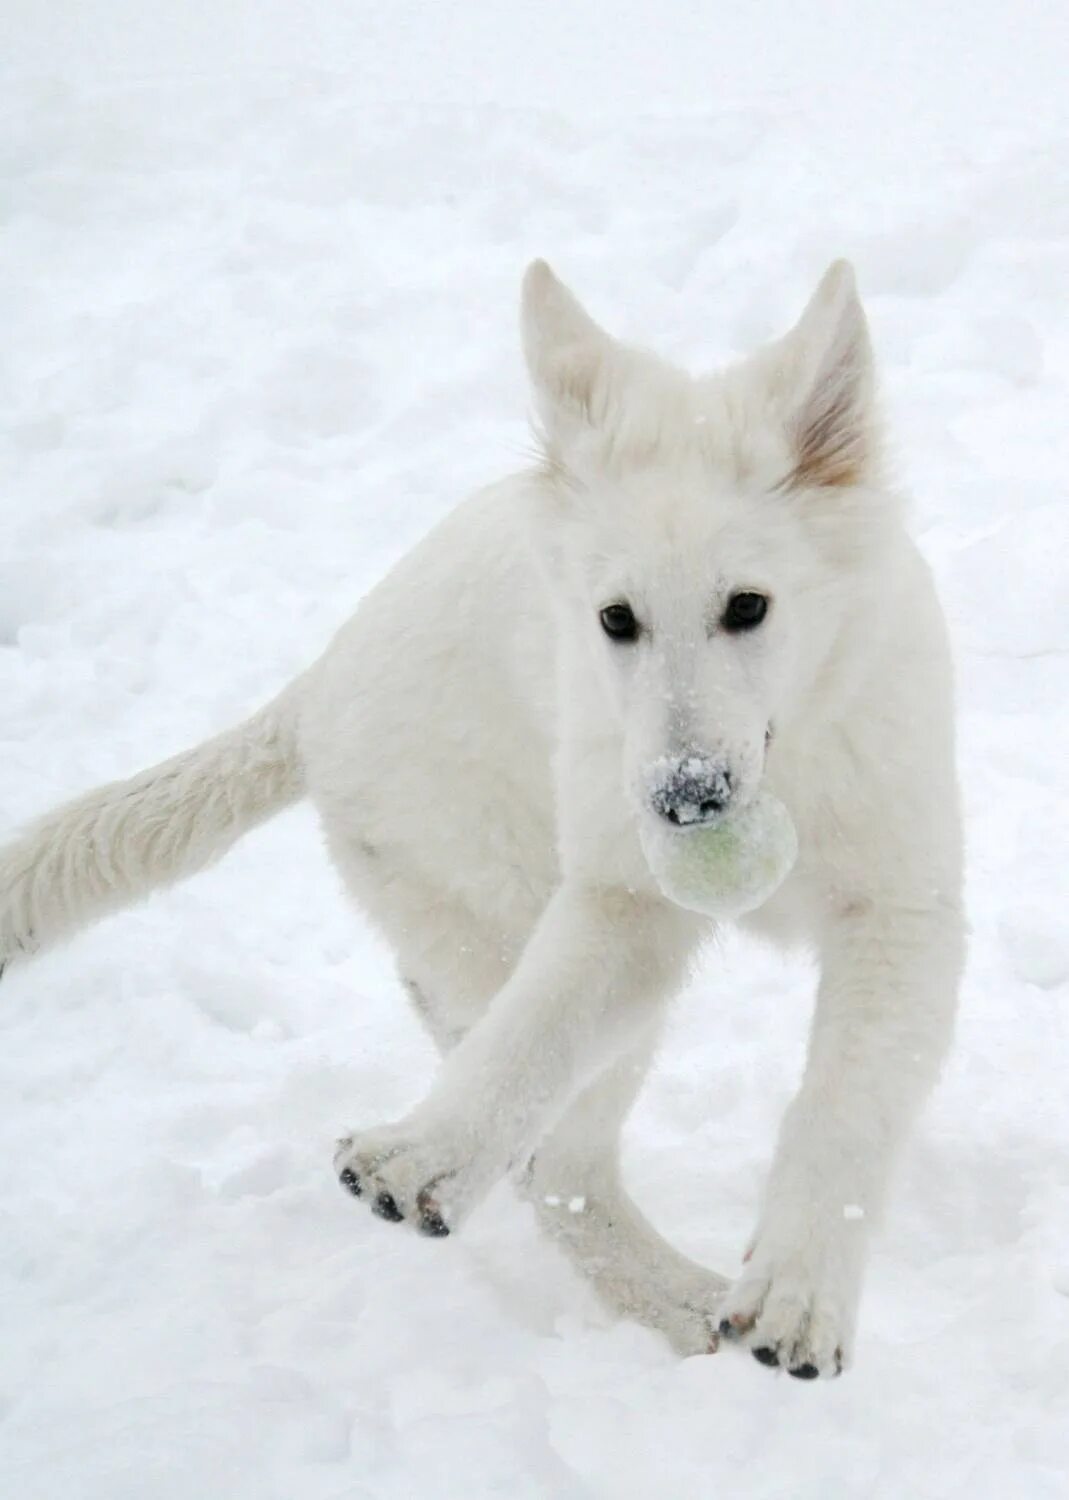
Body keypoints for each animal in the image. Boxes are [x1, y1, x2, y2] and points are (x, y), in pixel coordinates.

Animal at [0, 261, 965, 1380]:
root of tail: (315, 690)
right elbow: (529, 1038)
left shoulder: (900, 912)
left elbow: (845, 1105)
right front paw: (425, 1153)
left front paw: (799, 1294)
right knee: (553, 1157)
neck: (788, 758)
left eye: (748, 607)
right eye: (615, 620)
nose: (684, 802)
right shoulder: (620, 904)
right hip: (504, 899)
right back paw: (669, 1297)